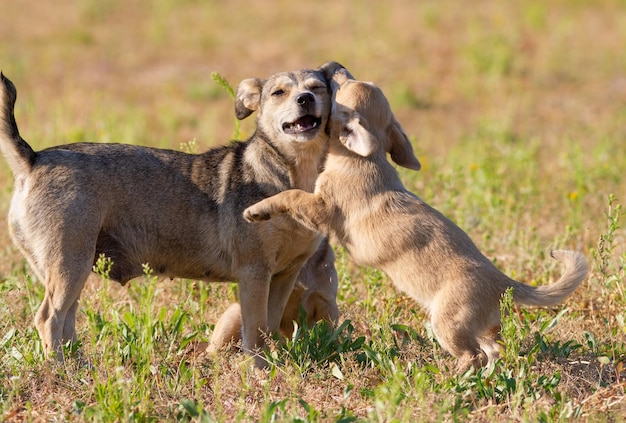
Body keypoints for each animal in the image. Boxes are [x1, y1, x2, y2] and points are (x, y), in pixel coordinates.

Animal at [0, 63, 344, 372]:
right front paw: (259, 371)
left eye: (317, 88)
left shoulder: (285, 275)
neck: (293, 175)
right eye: (278, 93)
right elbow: (255, 331)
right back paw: (61, 372)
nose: (304, 99)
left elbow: (269, 327)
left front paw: (275, 364)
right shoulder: (254, 273)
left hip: (71, 267)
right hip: (70, 262)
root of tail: (33, 160)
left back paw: (81, 368)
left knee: (67, 319)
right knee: (49, 318)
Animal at [241, 70, 588, 372]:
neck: (365, 158)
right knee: (493, 350)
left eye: (343, 87)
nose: (336, 69)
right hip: (480, 328)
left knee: (473, 355)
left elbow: (292, 196)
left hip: (447, 323)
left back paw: (454, 378)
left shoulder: (320, 206)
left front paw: (258, 210)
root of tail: (501, 281)